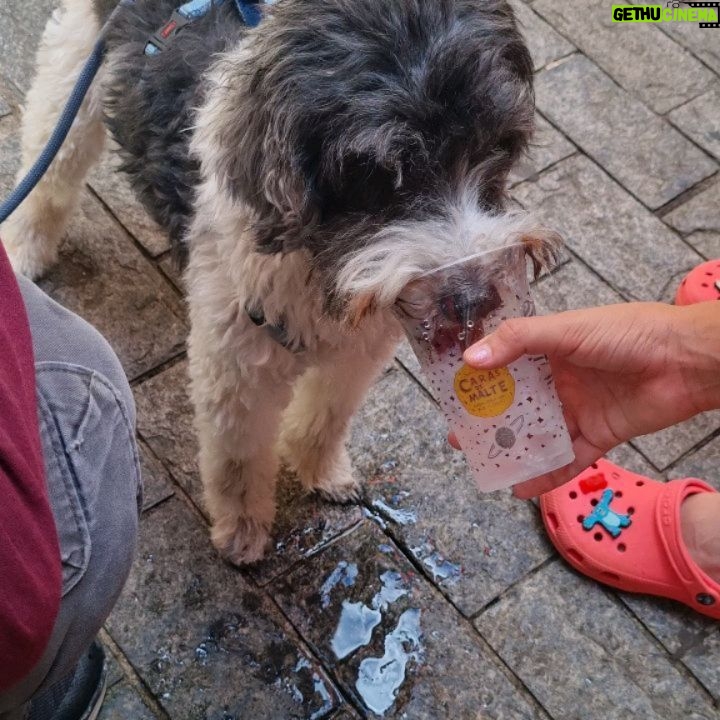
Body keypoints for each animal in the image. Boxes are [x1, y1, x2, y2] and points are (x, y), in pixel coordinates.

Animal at [2, 0, 560, 564]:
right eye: (382, 175)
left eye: (498, 149)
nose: (474, 299)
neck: (322, 265)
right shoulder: (235, 362)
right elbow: (238, 457)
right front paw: (242, 528)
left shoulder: (360, 348)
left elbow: (328, 415)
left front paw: (321, 470)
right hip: (73, 76)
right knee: (48, 169)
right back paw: (22, 251)